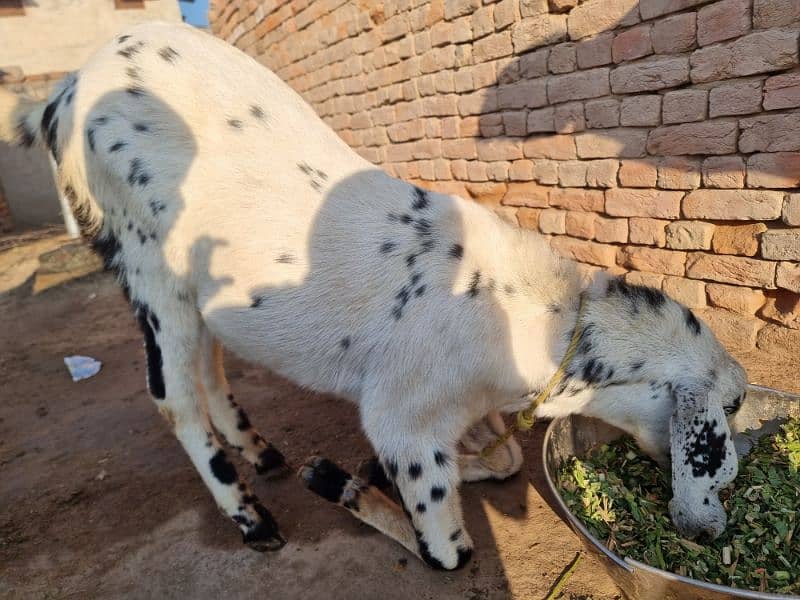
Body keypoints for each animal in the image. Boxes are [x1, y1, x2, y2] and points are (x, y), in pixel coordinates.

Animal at [1, 21, 752, 568]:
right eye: (728, 414)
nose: (712, 525)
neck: (534, 312)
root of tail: (64, 91)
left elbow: (508, 460)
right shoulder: (404, 418)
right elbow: (448, 553)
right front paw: (343, 482)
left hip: (197, 287)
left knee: (210, 363)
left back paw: (262, 452)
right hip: (146, 265)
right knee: (173, 396)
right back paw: (252, 517)